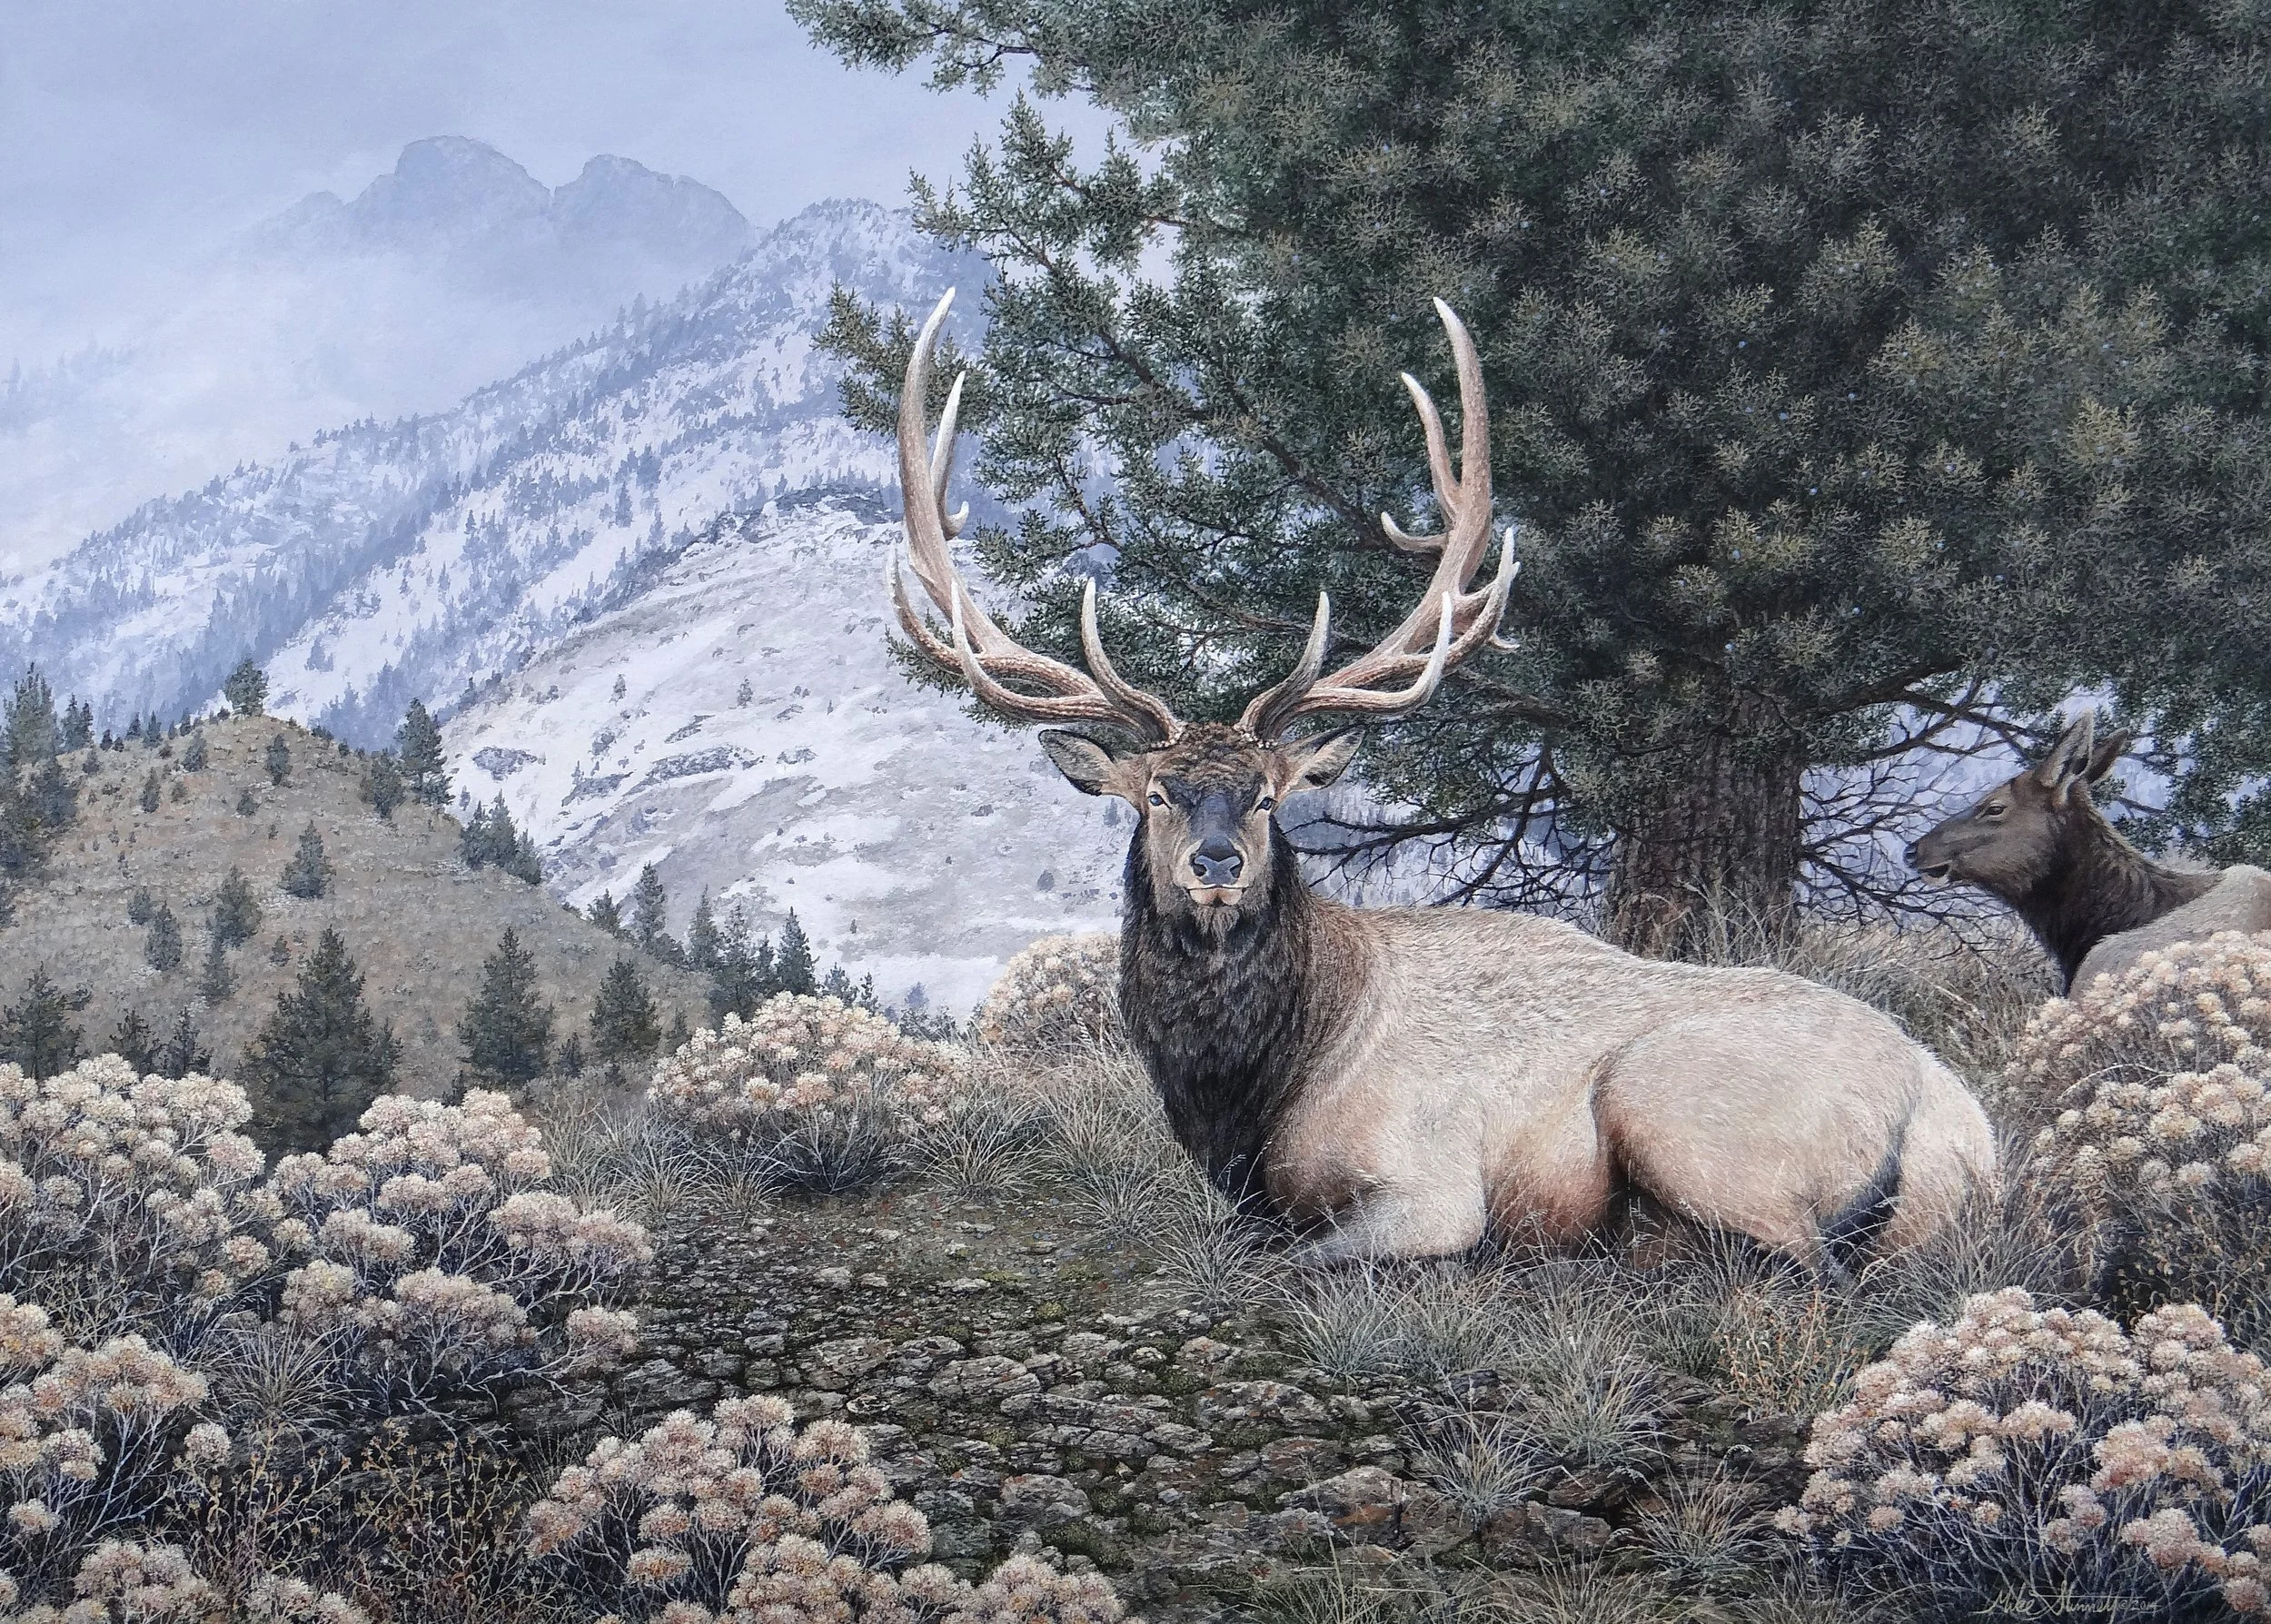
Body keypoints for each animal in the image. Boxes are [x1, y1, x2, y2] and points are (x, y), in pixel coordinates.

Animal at [889, 289, 1995, 1269]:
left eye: (1269, 796)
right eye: (1158, 793)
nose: (1216, 862)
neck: (1252, 1095)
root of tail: (1956, 1122)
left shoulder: (1429, 1189)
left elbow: (1285, 1257)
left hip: (1677, 1109)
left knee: (1804, 1266)